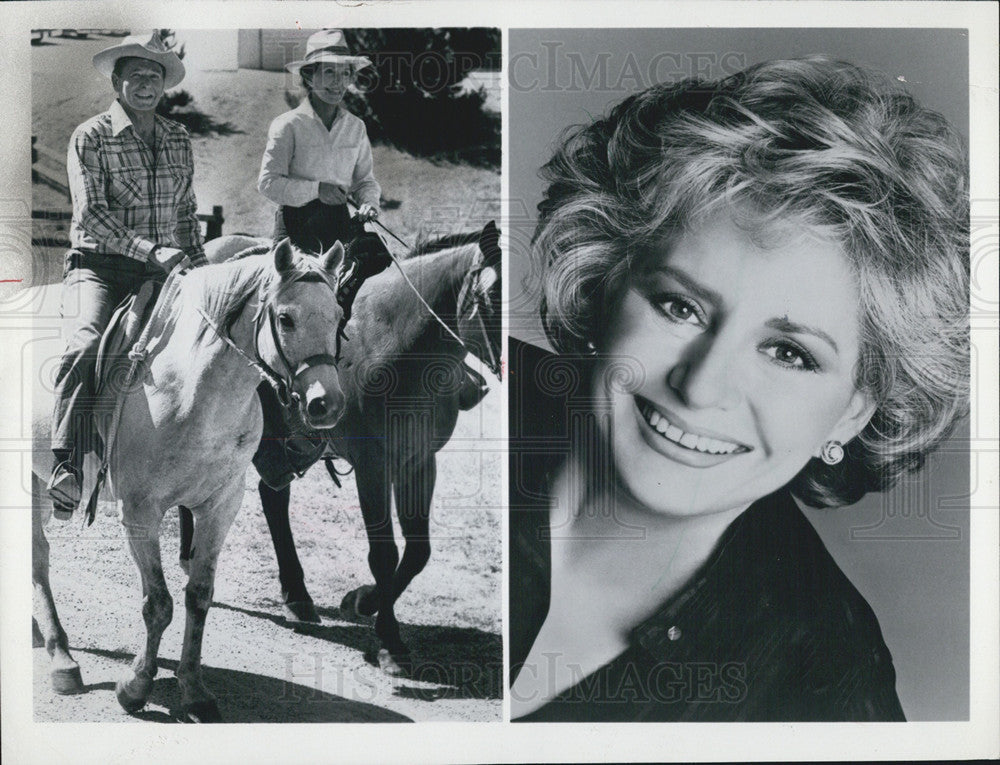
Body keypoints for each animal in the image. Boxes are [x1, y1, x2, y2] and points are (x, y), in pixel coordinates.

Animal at [30, 240, 348, 724]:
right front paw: (135, 687)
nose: (325, 404)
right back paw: (62, 658)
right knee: (38, 560)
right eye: (285, 318)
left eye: (338, 315)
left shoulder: (220, 508)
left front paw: (195, 690)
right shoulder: (140, 514)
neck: (191, 389)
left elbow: (198, 598)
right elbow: (158, 604)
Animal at [188, 222, 500, 676]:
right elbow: (384, 553)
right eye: (493, 295)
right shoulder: (373, 466)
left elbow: (418, 552)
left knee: (273, 498)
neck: (399, 342)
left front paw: (364, 601)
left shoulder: (419, 461)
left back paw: (297, 595)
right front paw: (389, 641)